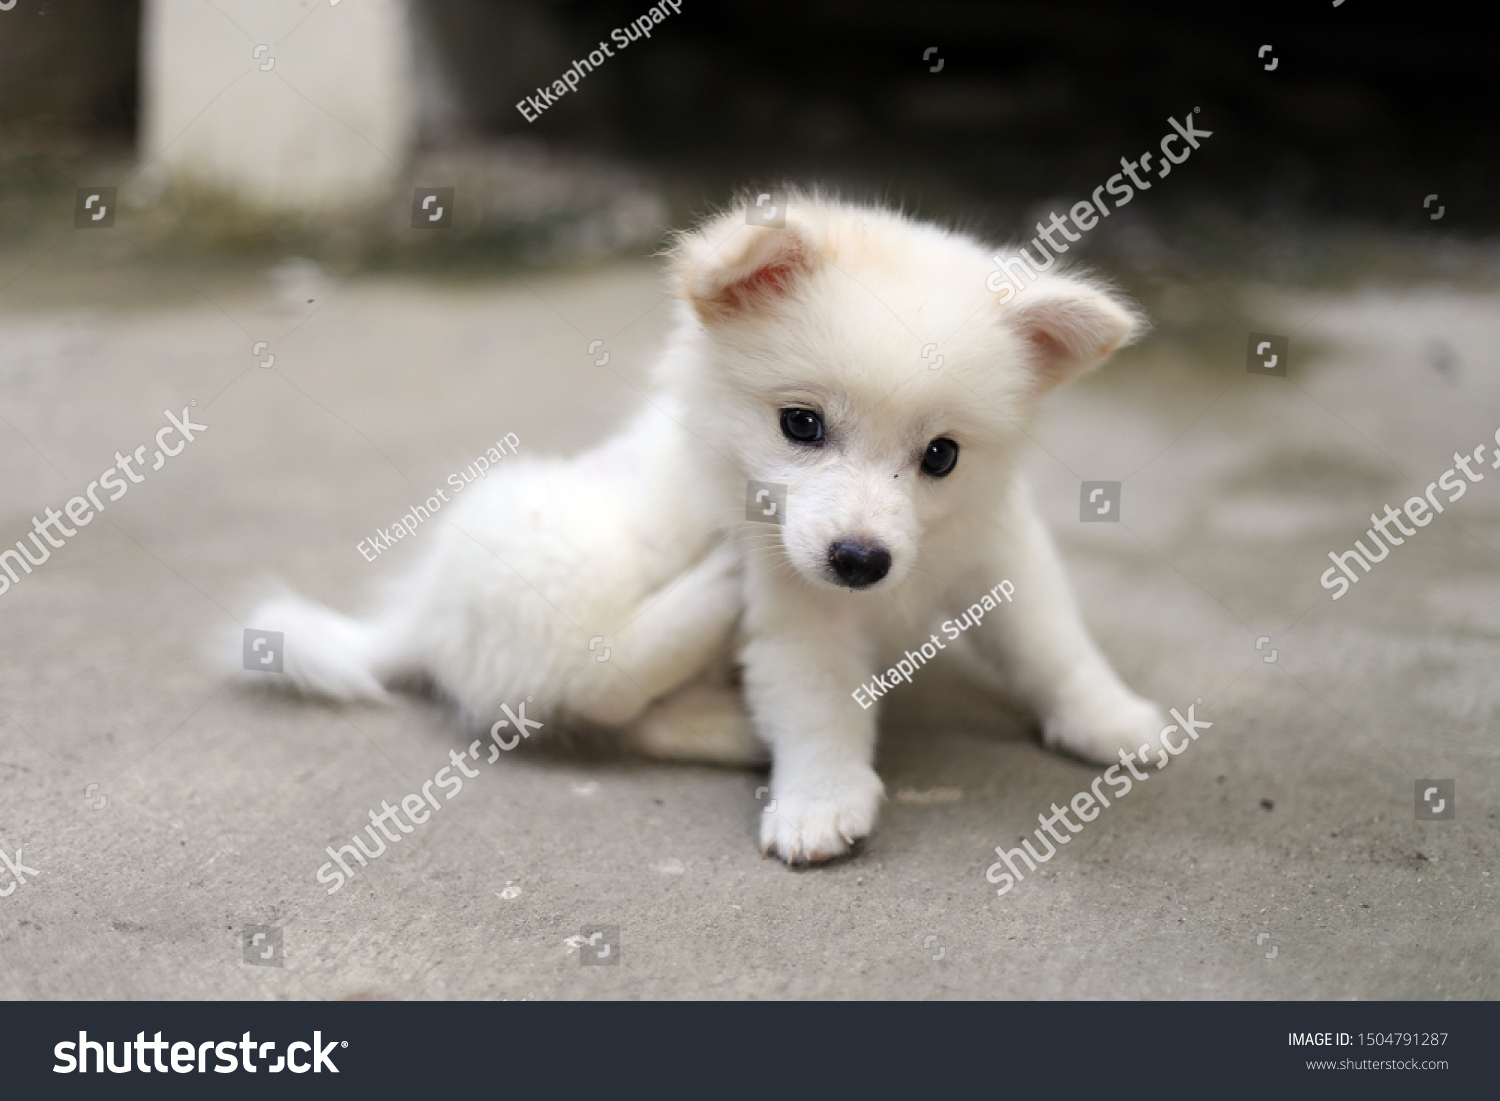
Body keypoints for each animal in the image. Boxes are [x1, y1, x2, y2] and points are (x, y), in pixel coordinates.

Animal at [246, 193, 1164, 864]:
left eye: (941, 455)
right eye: (801, 425)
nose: (860, 560)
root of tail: (420, 618)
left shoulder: (1000, 551)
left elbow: (1053, 645)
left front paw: (1110, 718)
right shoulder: (795, 607)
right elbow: (818, 706)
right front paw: (820, 797)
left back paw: (729, 721)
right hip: (551, 550)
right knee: (596, 682)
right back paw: (711, 614)